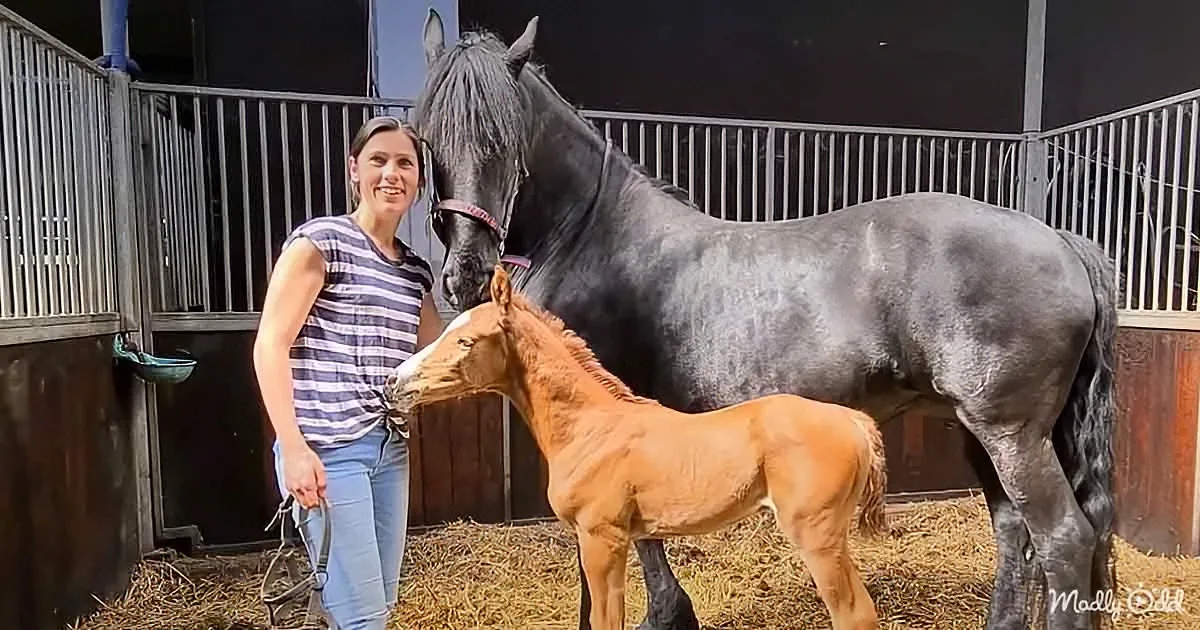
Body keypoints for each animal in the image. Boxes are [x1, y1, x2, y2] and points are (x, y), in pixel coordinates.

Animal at [385, 264, 889, 630]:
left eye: (467, 340)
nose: (395, 381)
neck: (590, 429)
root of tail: (854, 421)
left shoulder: (601, 538)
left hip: (817, 534)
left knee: (855, 616)